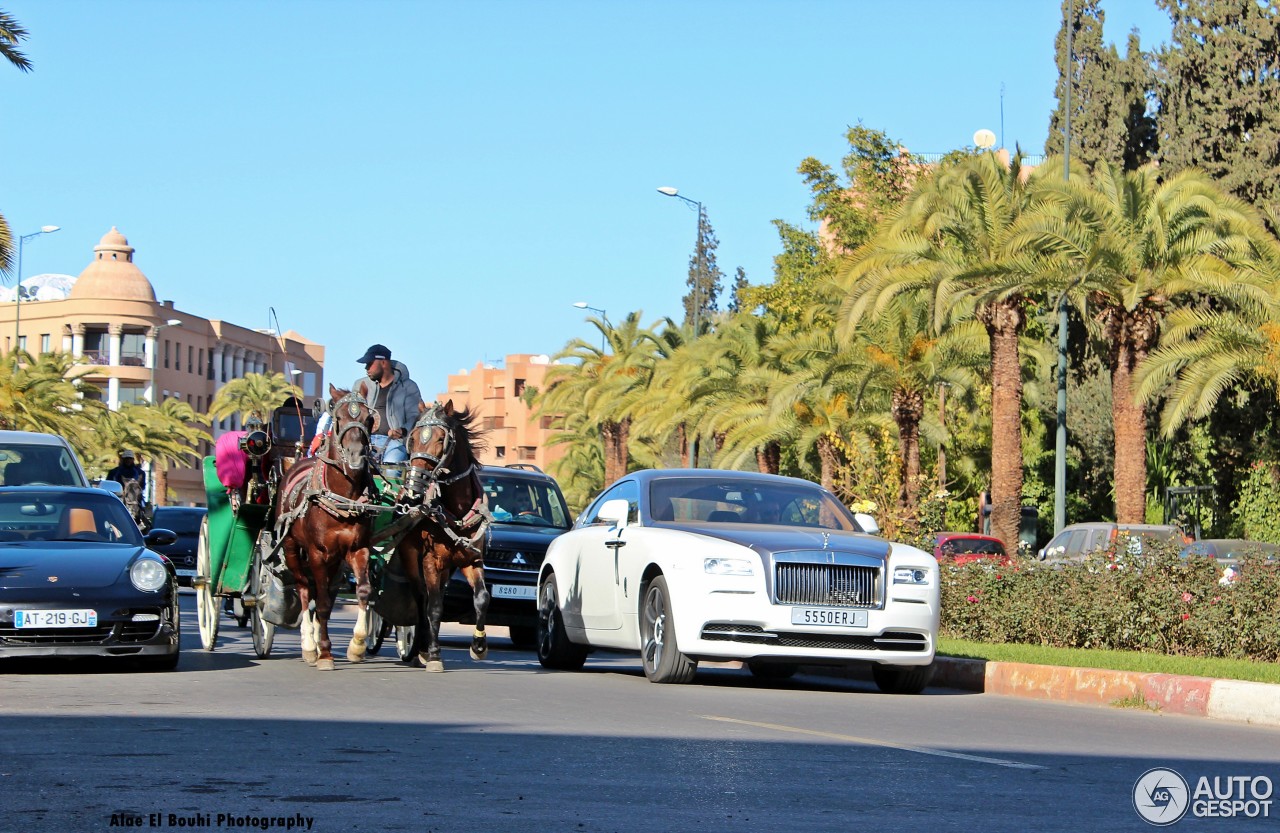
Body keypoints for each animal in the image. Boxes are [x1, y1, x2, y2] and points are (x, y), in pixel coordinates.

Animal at [277, 383, 376, 670]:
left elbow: (362, 591)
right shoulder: (317, 553)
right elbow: (319, 602)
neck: (342, 496)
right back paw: (309, 645)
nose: (356, 457)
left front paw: (357, 645)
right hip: (291, 548)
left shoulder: (358, 549)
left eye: (369, 419)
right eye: (339, 418)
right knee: (303, 588)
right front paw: (324, 652)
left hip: (334, 561)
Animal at [394, 396, 488, 670]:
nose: (414, 486)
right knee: (421, 598)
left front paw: (478, 646)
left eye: (440, 439)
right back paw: (421, 647)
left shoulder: (472, 558)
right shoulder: (431, 561)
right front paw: (434, 653)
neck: (456, 510)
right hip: (411, 558)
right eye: (413, 438)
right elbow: (434, 606)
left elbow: (482, 598)